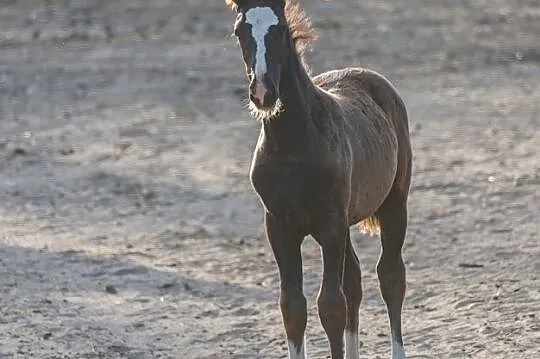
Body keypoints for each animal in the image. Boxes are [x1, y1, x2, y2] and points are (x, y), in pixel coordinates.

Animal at [224, 1, 414, 358]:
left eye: (281, 30)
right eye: (239, 31)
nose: (263, 92)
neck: (293, 145)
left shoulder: (329, 223)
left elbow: (330, 305)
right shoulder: (279, 226)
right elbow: (292, 307)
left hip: (394, 203)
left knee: (391, 276)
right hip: (346, 220)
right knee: (354, 280)